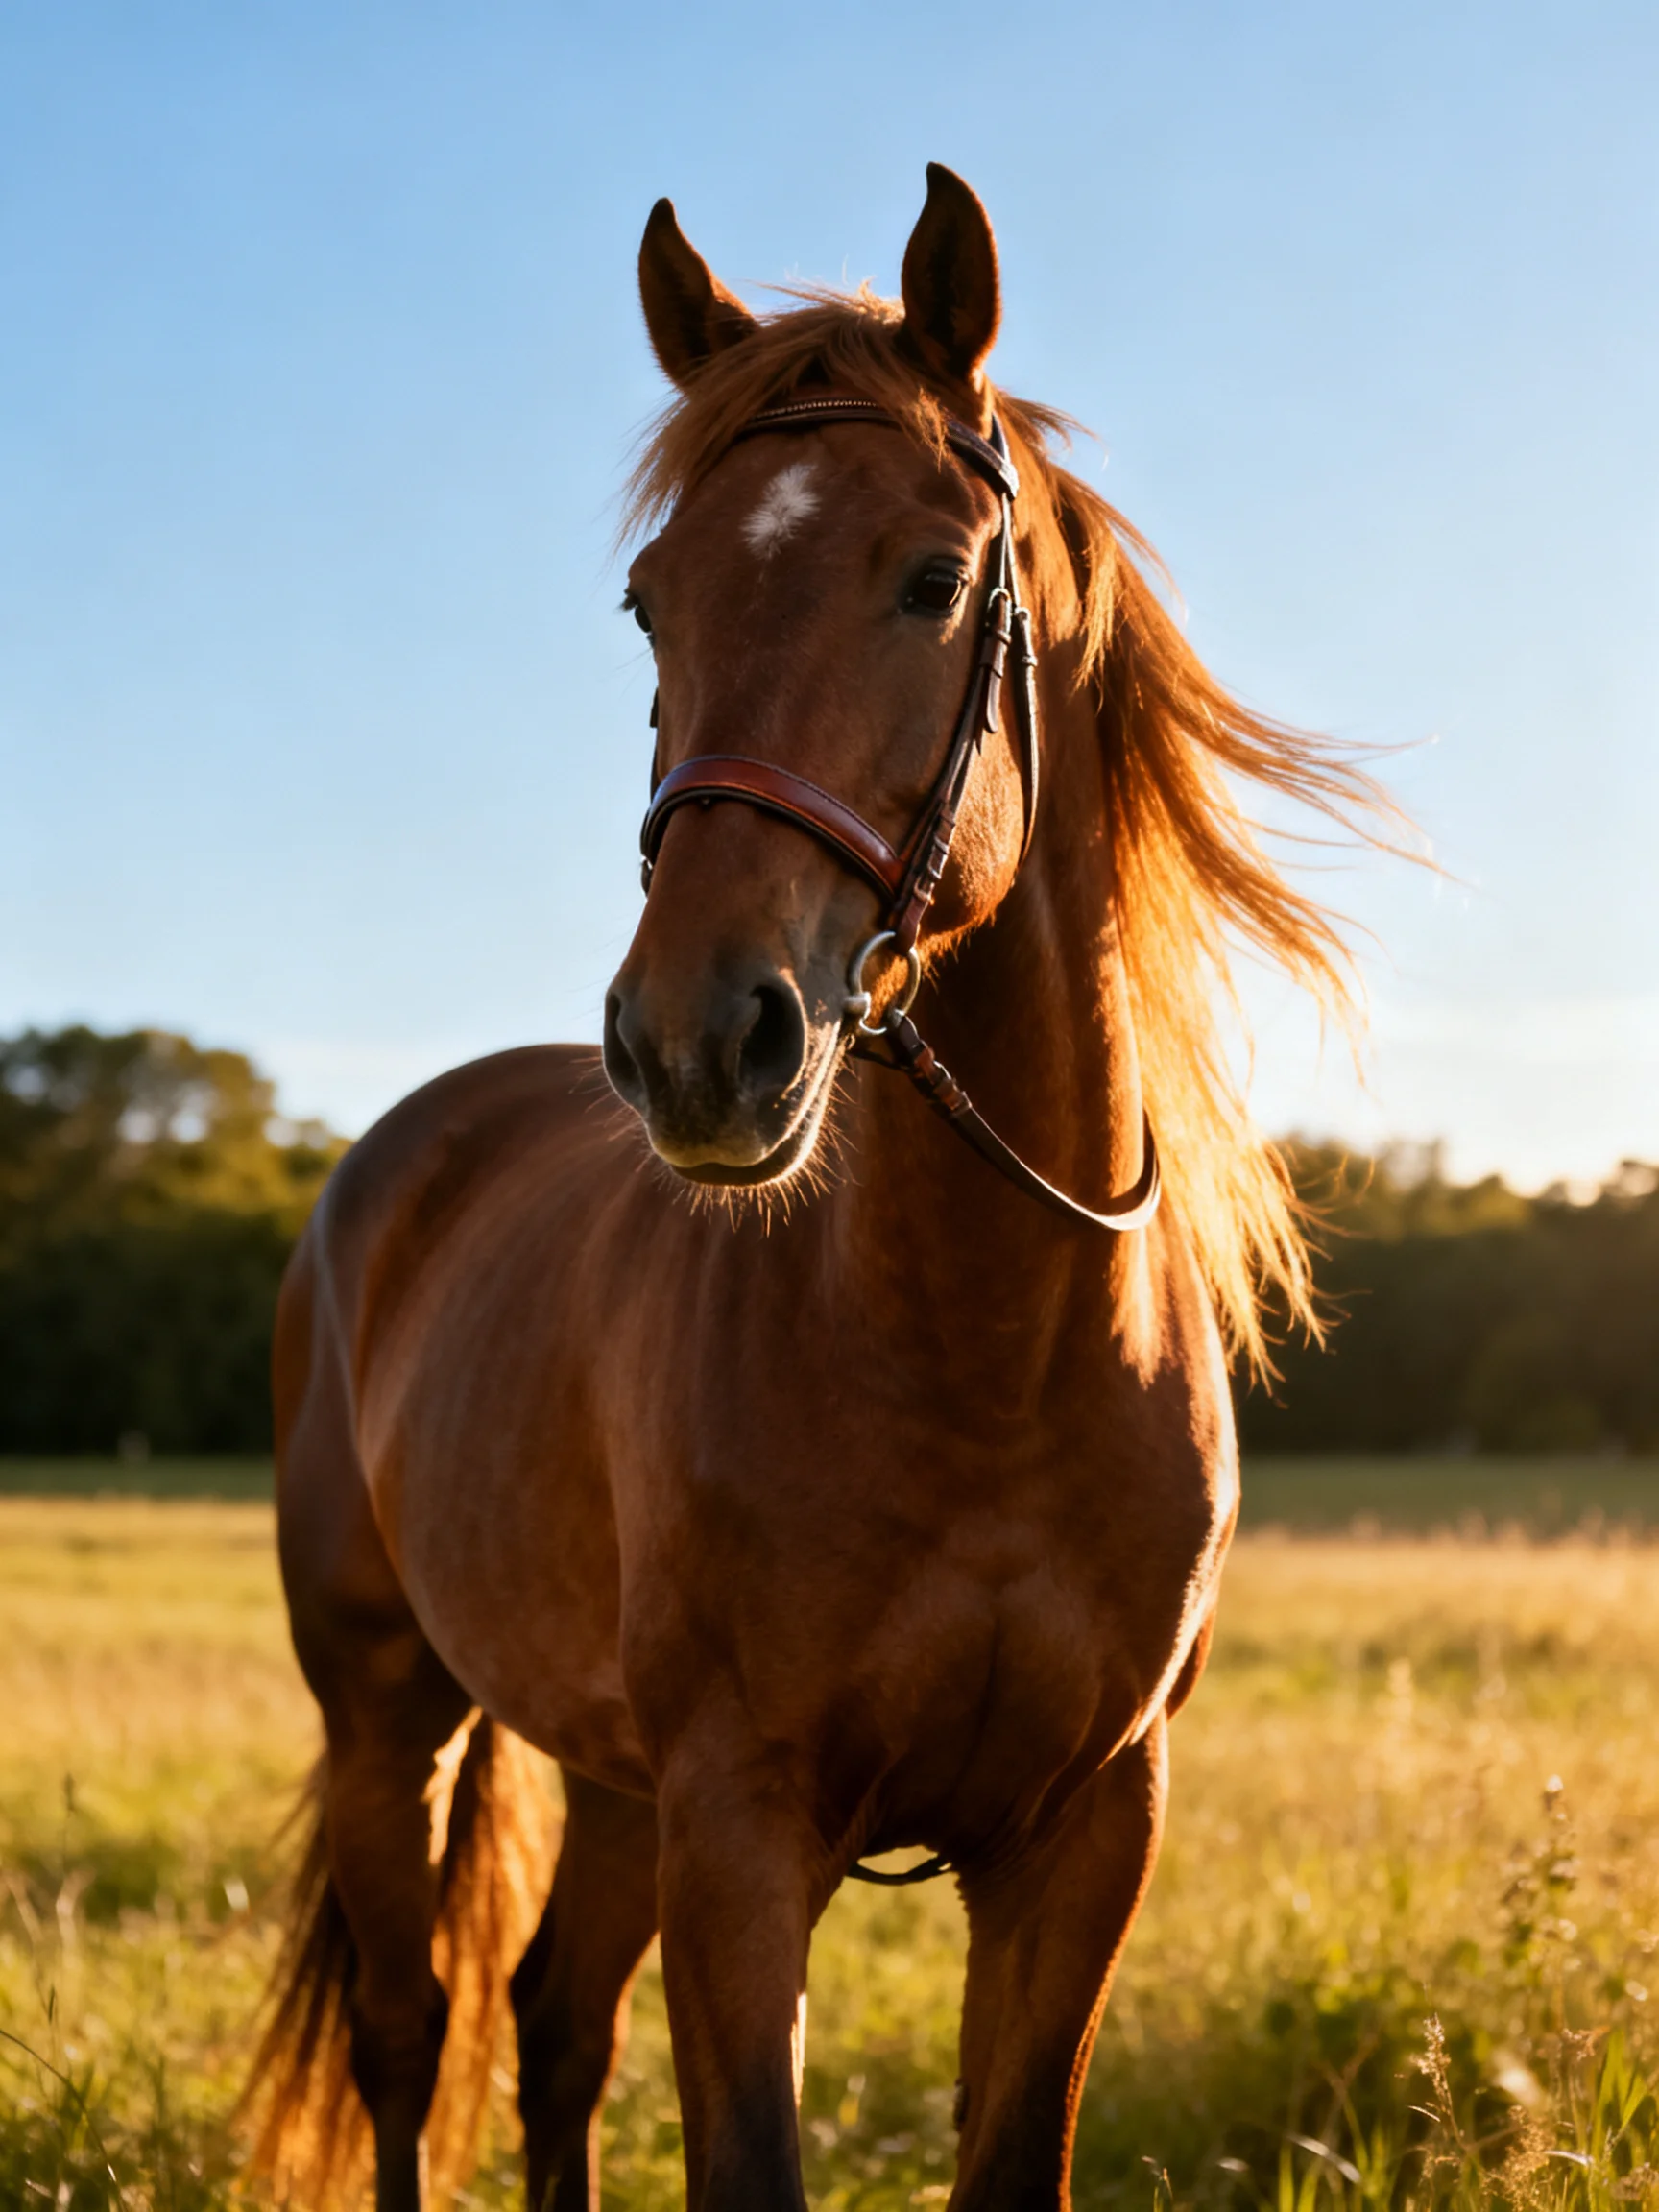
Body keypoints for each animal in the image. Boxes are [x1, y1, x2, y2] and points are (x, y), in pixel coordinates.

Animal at [248, 164, 1394, 2212]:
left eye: (933, 579)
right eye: (651, 600)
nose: (695, 1040)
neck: (990, 1351)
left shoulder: (1081, 1833)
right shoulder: (741, 1820)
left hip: (605, 1773)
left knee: (553, 2020)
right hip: (386, 1711)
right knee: (409, 2029)